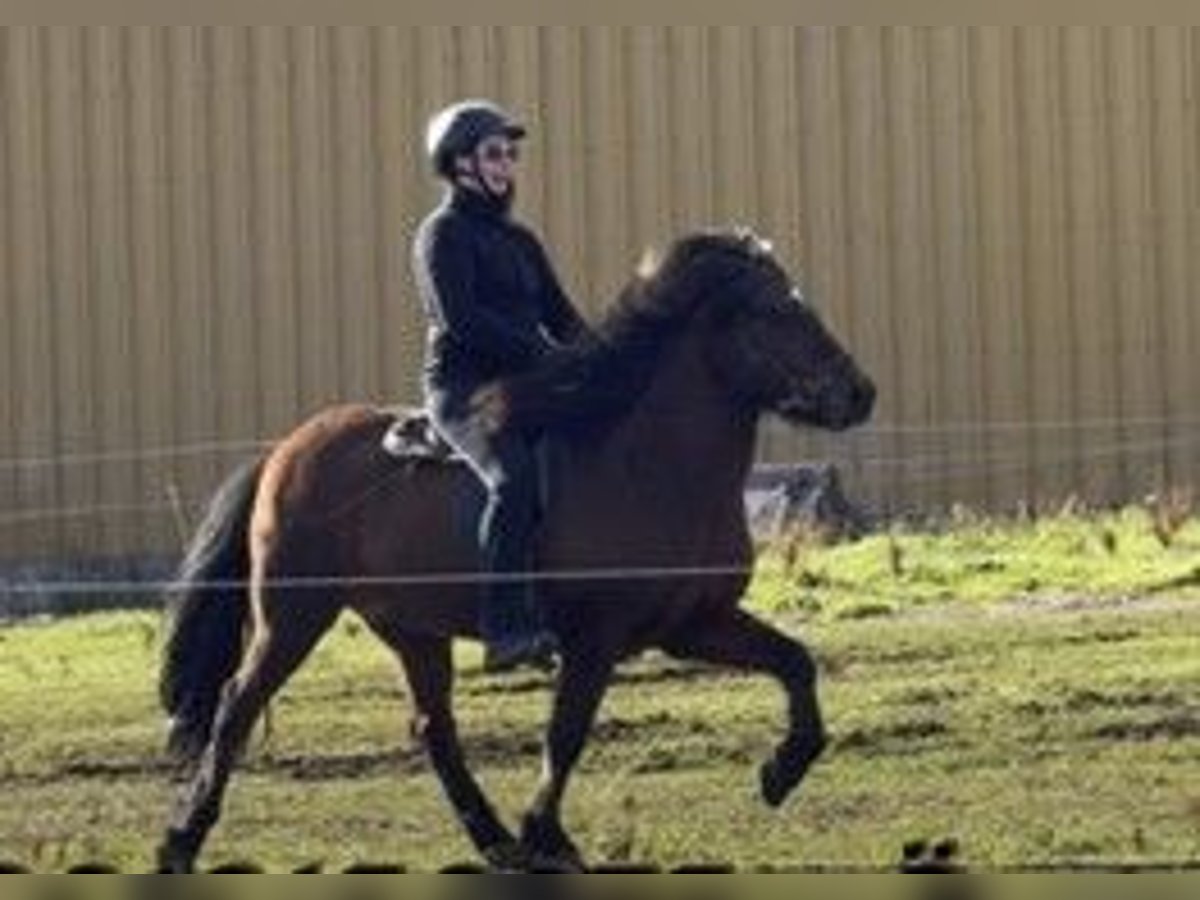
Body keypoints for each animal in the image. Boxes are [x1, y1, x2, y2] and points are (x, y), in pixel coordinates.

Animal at [154, 225, 878, 873]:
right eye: (774, 311)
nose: (860, 392)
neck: (649, 463)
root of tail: (286, 449)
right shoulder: (594, 638)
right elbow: (567, 732)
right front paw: (546, 835)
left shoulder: (693, 623)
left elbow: (795, 662)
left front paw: (782, 771)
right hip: (293, 616)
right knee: (236, 707)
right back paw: (181, 841)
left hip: (411, 628)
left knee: (433, 729)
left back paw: (494, 841)